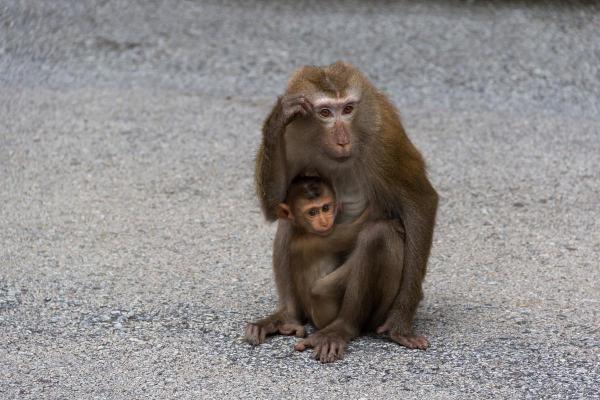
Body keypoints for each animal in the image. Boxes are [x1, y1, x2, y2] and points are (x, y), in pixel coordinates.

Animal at [246, 61, 438, 362]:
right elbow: (275, 206)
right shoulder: (291, 136)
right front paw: (278, 116)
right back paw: (287, 316)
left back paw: (343, 328)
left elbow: (420, 203)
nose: (342, 139)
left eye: (348, 109)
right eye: (325, 112)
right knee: (289, 223)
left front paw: (400, 322)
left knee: (380, 235)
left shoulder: (385, 137)